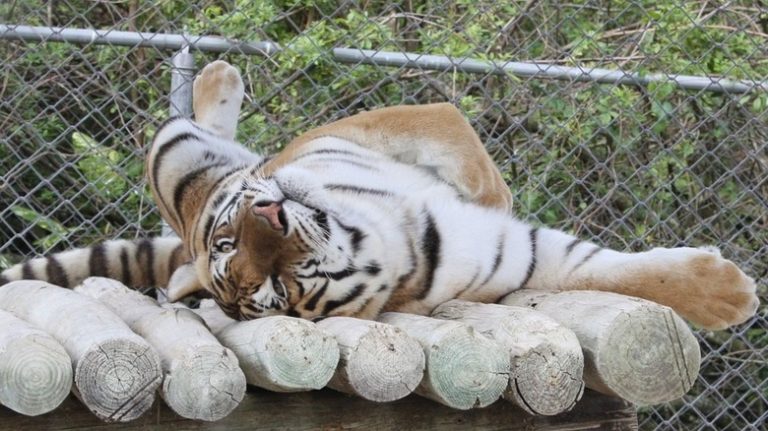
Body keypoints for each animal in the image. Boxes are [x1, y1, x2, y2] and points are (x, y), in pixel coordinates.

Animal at [0, 61, 756, 330]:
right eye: (275, 287)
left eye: (232, 237)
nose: (270, 208)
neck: (400, 234)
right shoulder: (530, 262)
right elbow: (616, 274)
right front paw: (735, 296)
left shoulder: (375, 129)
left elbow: (460, 139)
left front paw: (718, 293)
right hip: (167, 154)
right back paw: (219, 77)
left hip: (192, 160)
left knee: (222, 141)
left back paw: (218, 74)